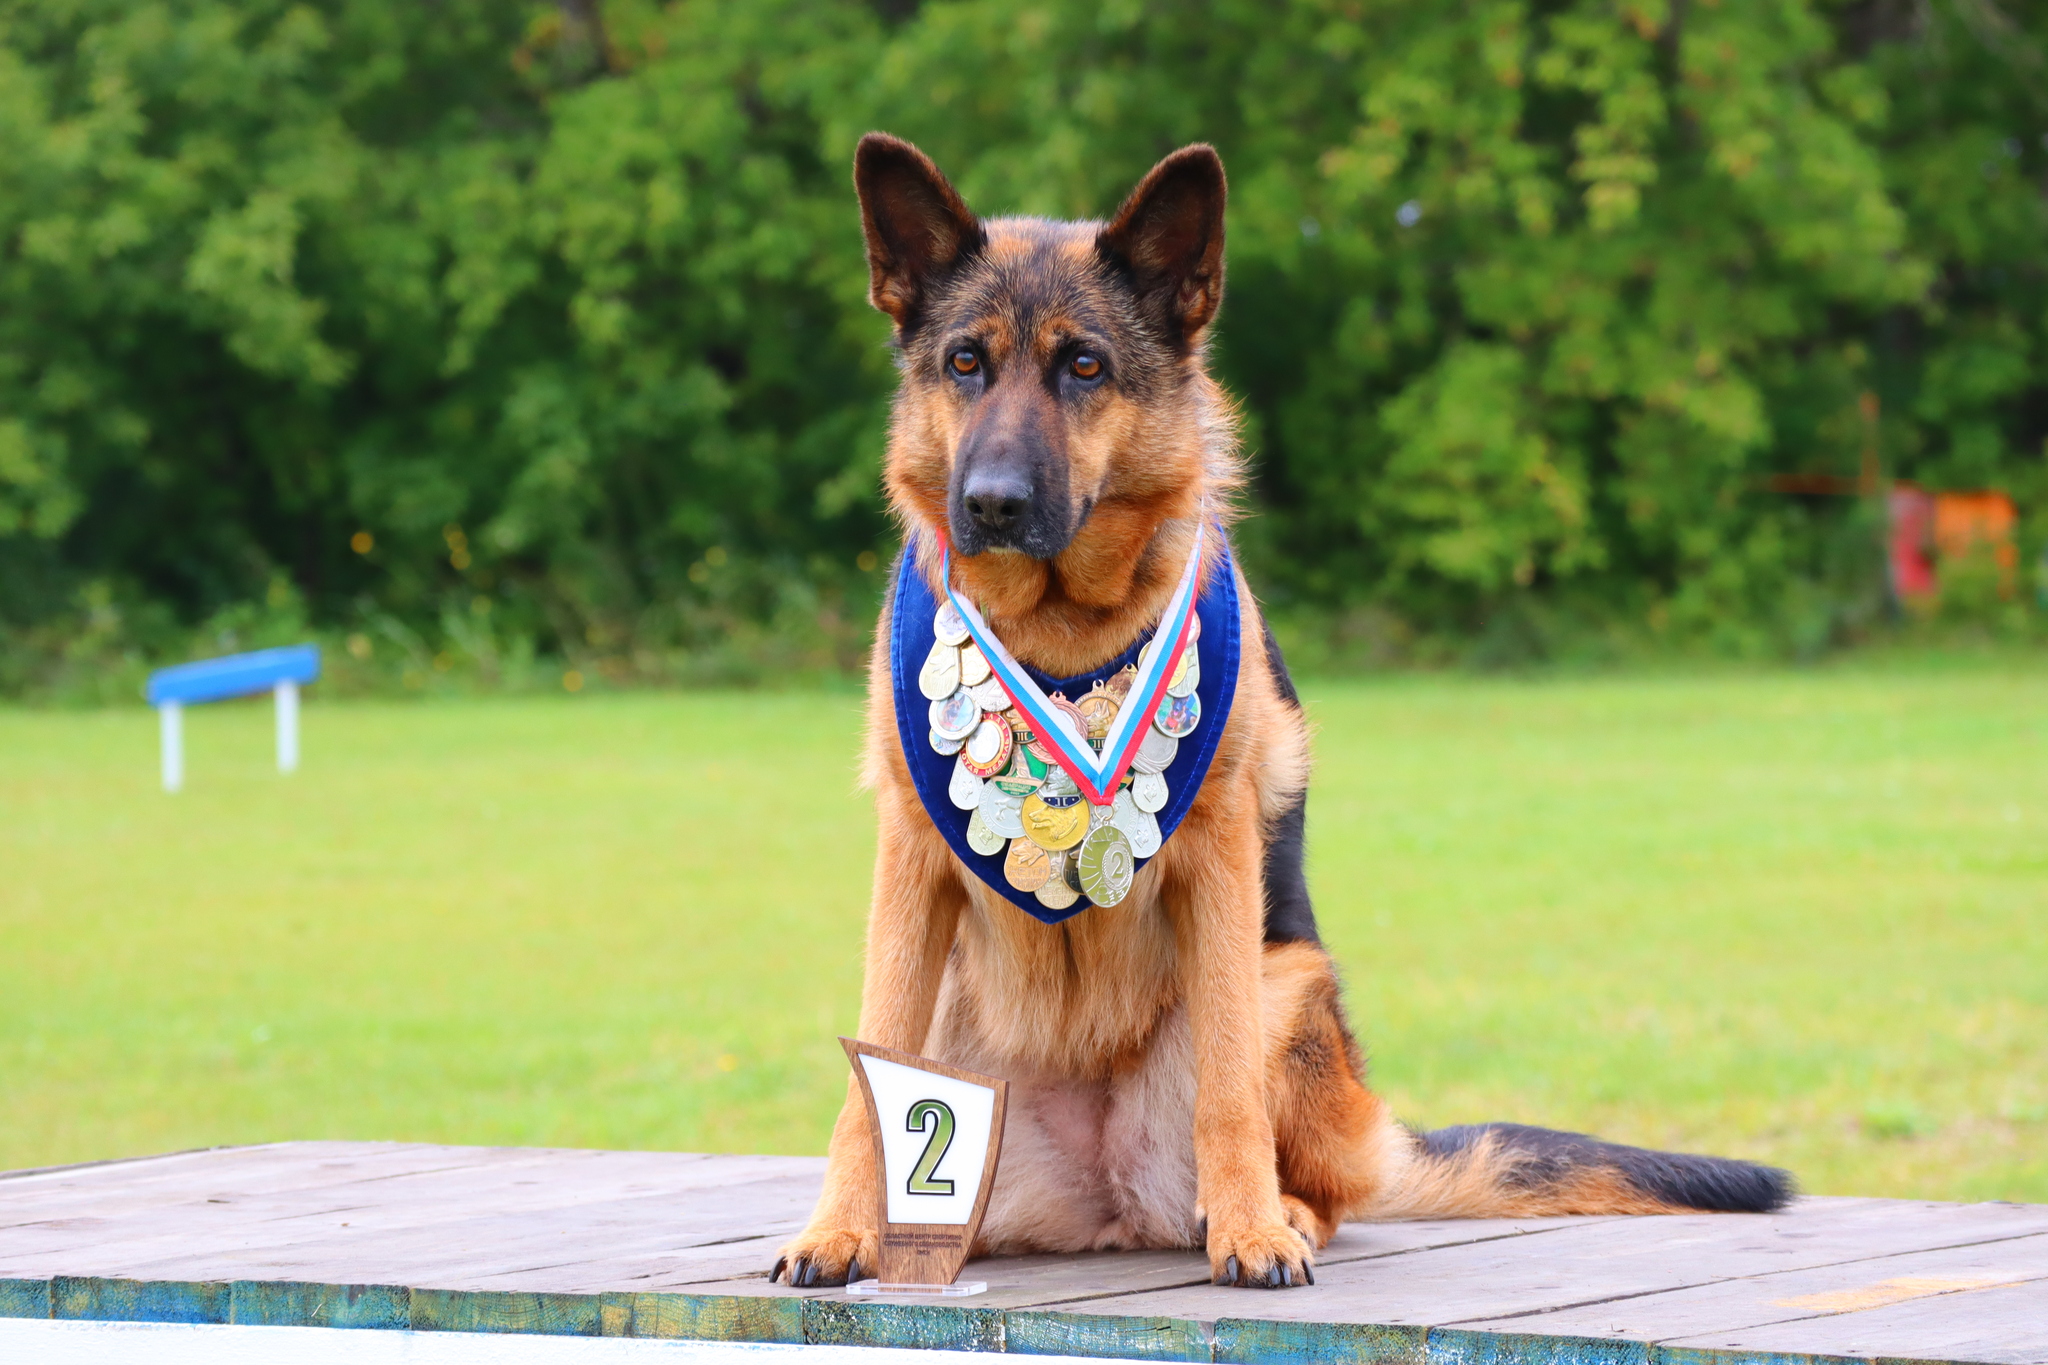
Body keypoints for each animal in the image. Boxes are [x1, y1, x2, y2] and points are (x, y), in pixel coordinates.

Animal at [770, 133, 1794, 1285]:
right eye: (963, 364)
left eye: (1084, 366)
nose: (990, 504)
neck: (1060, 640)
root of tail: (1103, 1209)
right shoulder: (908, 864)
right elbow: (868, 1073)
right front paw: (837, 1228)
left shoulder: (1219, 864)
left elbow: (1227, 1083)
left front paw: (1253, 1229)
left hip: (1290, 982)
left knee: (1318, 1174)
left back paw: (1277, 1211)